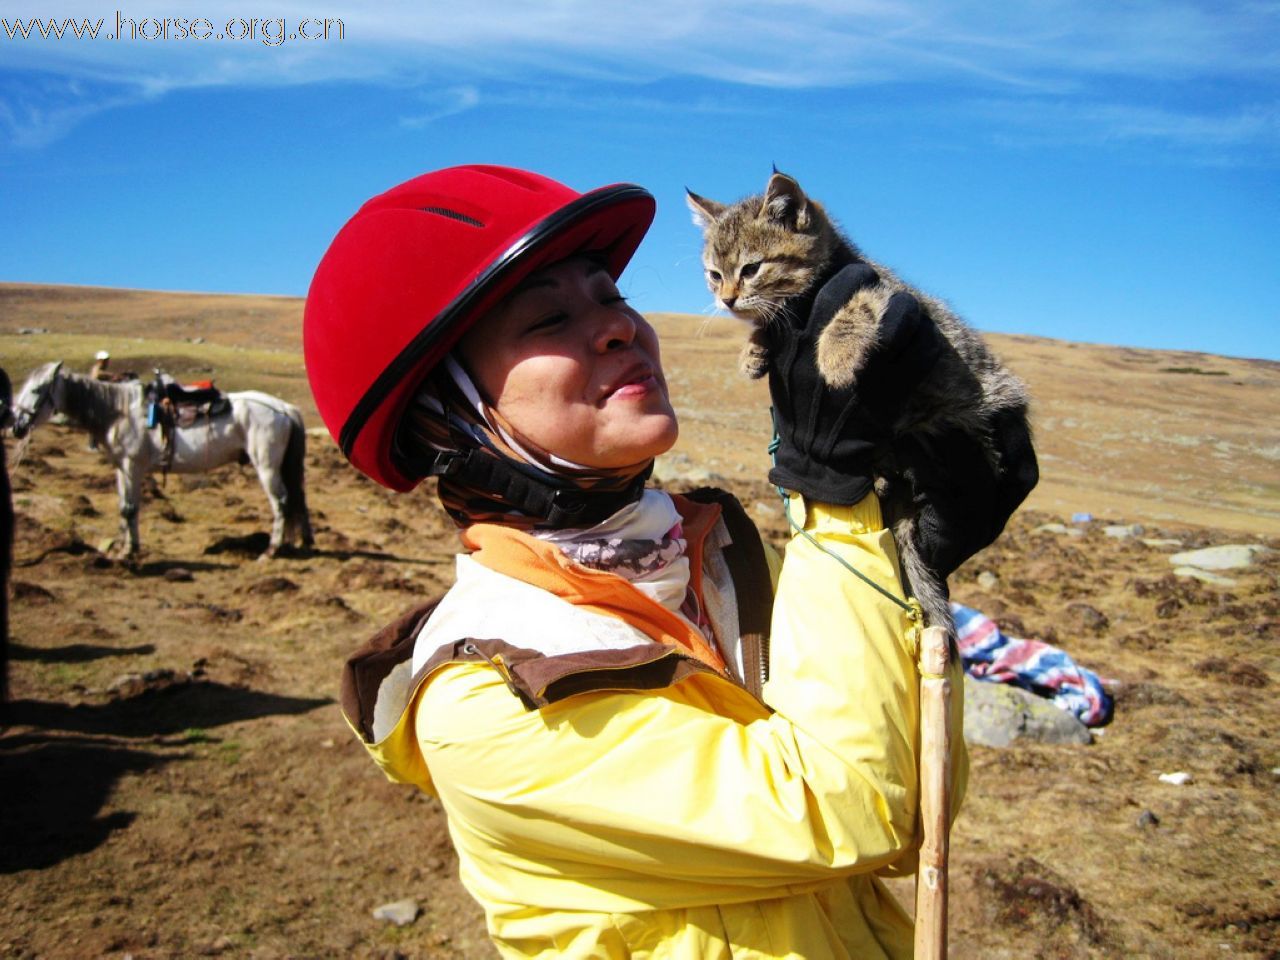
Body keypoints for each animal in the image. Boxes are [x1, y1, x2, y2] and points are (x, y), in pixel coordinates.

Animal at [11, 358, 313, 555]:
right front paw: (126, 547)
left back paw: (271, 550)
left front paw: (127, 554)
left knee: (281, 501)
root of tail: (284, 408)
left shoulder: (133, 466)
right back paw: (301, 542)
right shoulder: (122, 468)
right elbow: (125, 507)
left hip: (267, 466)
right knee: (297, 499)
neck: (119, 411)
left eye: (37, 390)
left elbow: (130, 508)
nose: (16, 426)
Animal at [691, 172, 1029, 640]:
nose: (726, 299)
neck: (805, 301)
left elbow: (860, 305)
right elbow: (769, 327)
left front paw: (835, 352)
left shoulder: (895, 298)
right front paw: (754, 351)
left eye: (751, 269)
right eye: (714, 274)